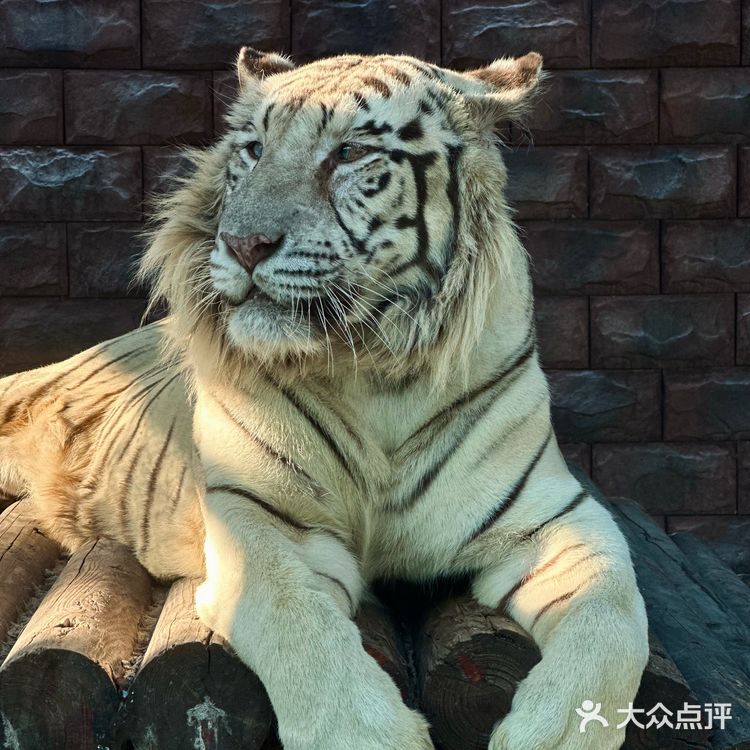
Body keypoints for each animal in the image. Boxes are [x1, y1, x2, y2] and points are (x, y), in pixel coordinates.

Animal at [0, 47, 649, 750]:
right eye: (254, 149)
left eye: (349, 153)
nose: (242, 244)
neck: (381, 372)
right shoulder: (261, 520)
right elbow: (296, 623)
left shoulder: (555, 519)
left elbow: (616, 617)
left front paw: (552, 732)